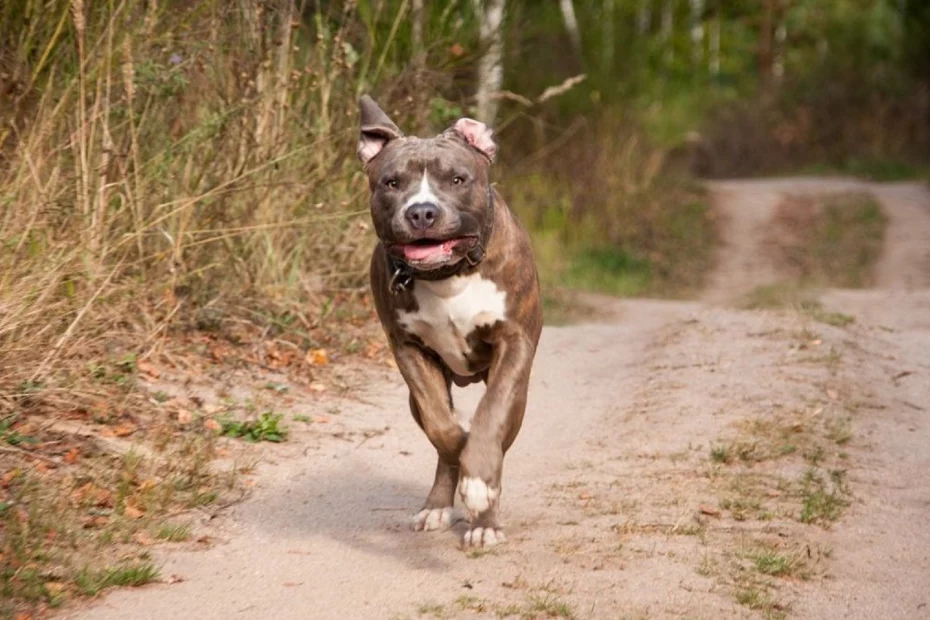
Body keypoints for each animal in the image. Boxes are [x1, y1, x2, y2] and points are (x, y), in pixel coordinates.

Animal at [358, 97, 544, 548]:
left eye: (457, 179)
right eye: (391, 183)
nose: (422, 212)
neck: (449, 275)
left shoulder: (514, 344)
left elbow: (490, 417)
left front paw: (479, 484)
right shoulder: (408, 350)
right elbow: (442, 427)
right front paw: (461, 450)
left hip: (520, 395)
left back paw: (484, 521)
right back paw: (439, 504)